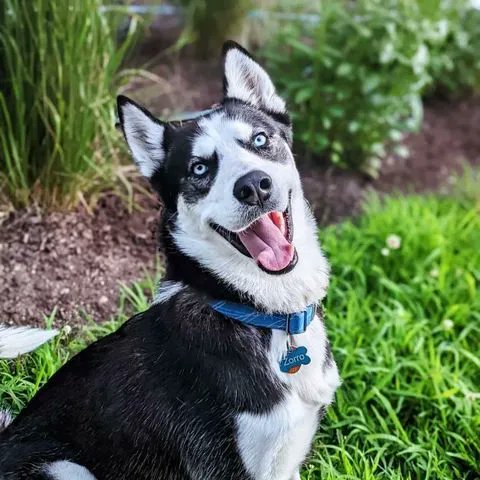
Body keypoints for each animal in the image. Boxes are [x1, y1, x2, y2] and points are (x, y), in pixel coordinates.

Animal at [0, 42, 340, 480]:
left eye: (260, 139)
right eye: (199, 168)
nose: (253, 186)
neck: (260, 313)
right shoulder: (225, 467)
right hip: (65, 468)